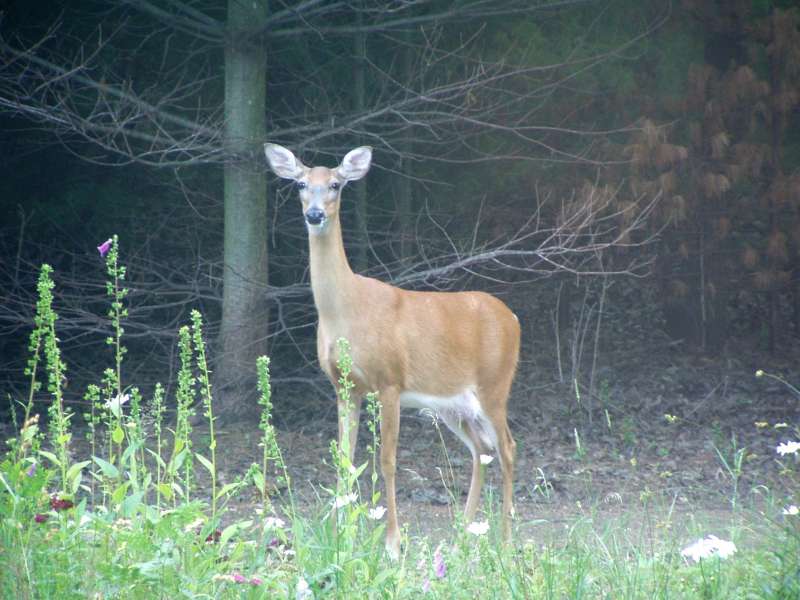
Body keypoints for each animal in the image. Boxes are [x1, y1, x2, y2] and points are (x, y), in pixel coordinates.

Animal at [266, 143, 520, 560]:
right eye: (301, 184)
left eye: (336, 185)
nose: (314, 214)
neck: (345, 310)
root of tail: (512, 317)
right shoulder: (343, 387)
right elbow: (345, 460)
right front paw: (341, 537)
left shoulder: (389, 381)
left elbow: (386, 461)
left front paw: (392, 543)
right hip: (453, 404)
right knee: (481, 448)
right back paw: (462, 536)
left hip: (495, 384)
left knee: (508, 448)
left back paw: (504, 541)